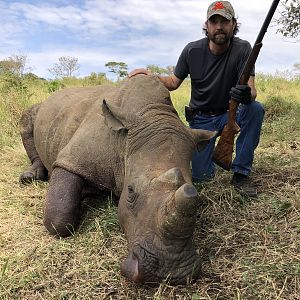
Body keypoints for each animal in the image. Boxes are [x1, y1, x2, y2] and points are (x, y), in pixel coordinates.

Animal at [19, 74, 216, 284]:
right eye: (130, 191)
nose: (171, 273)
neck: (150, 112)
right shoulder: (71, 160)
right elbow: (59, 219)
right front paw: (84, 195)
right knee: (27, 118)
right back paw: (30, 177)